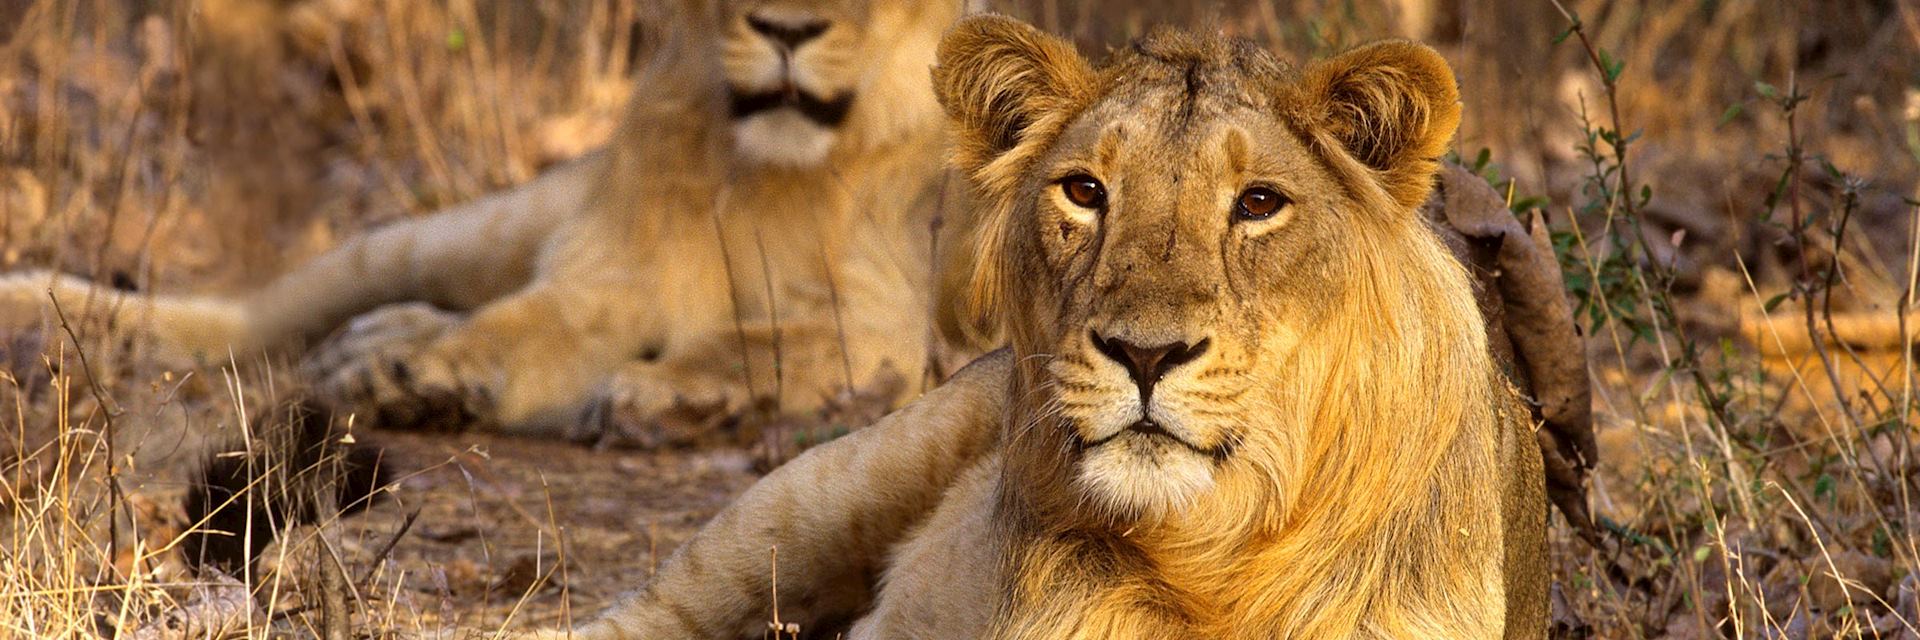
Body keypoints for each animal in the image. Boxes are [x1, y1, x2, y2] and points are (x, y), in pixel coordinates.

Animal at [0, 0, 975, 443]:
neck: (762, 165)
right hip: (464, 232)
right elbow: (522, 324)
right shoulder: (606, 279)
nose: (787, 29)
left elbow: (761, 343)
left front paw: (661, 391)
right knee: (264, 312)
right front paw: (425, 370)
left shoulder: (888, 329)